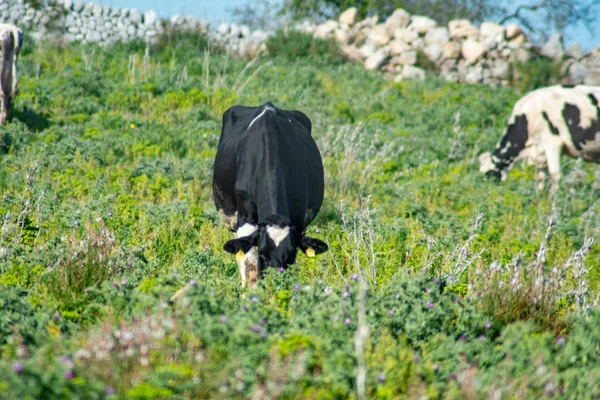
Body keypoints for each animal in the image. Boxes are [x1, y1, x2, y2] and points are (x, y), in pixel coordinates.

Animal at [213, 101, 330, 286]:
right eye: (262, 253)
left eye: (291, 254)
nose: (275, 280)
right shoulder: (245, 216)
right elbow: (250, 266)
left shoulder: (298, 219)